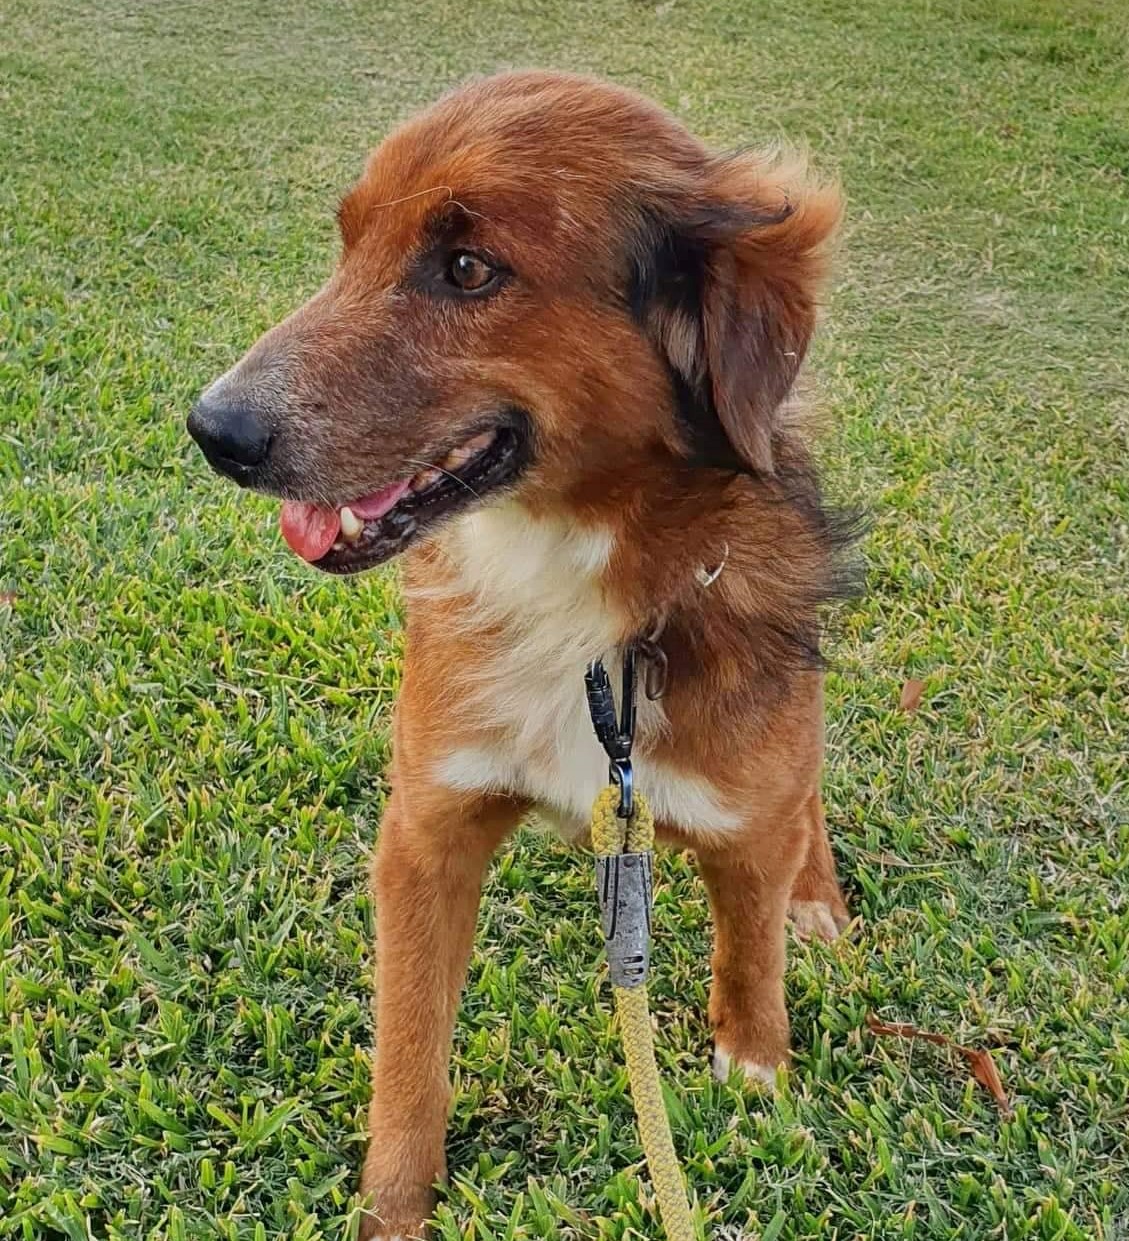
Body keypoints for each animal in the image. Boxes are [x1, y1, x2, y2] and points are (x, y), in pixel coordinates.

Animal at [187, 70, 858, 1241]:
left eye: (466, 269)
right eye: (348, 242)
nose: (212, 430)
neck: (576, 594)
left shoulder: (742, 809)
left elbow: (751, 946)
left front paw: (754, 1065)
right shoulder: (428, 827)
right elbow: (410, 1048)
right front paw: (393, 1205)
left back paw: (814, 894)